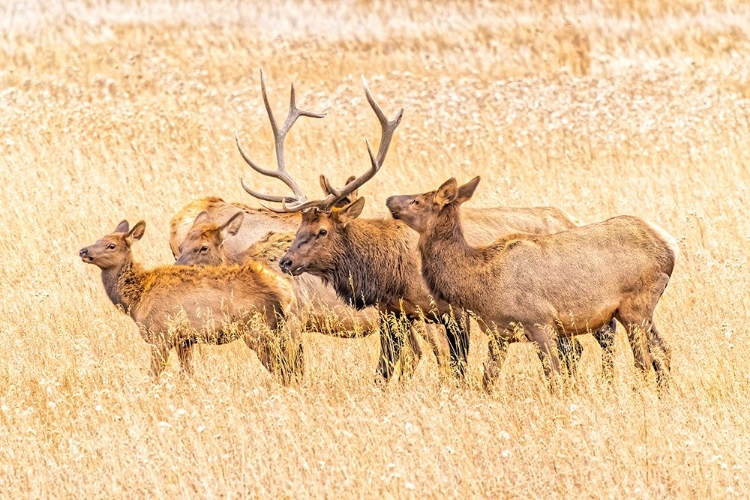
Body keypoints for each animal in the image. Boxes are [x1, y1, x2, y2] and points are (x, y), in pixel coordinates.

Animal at [79, 219, 302, 382]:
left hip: (258, 329)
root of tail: (286, 292)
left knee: (283, 368)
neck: (136, 300)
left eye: (111, 245)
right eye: (98, 239)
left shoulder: (161, 334)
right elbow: (187, 374)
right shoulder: (185, 340)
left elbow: (152, 376)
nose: (83, 250)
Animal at [384, 178, 680, 388]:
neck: (479, 284)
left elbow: (554, 377)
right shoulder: (498, 334)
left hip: (635, 308)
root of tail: (669, 245)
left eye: (417, 200)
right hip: (642, 312)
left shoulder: (541, 323)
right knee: (663, 350)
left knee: (643, 361)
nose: (389, 199)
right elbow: (487, 379)